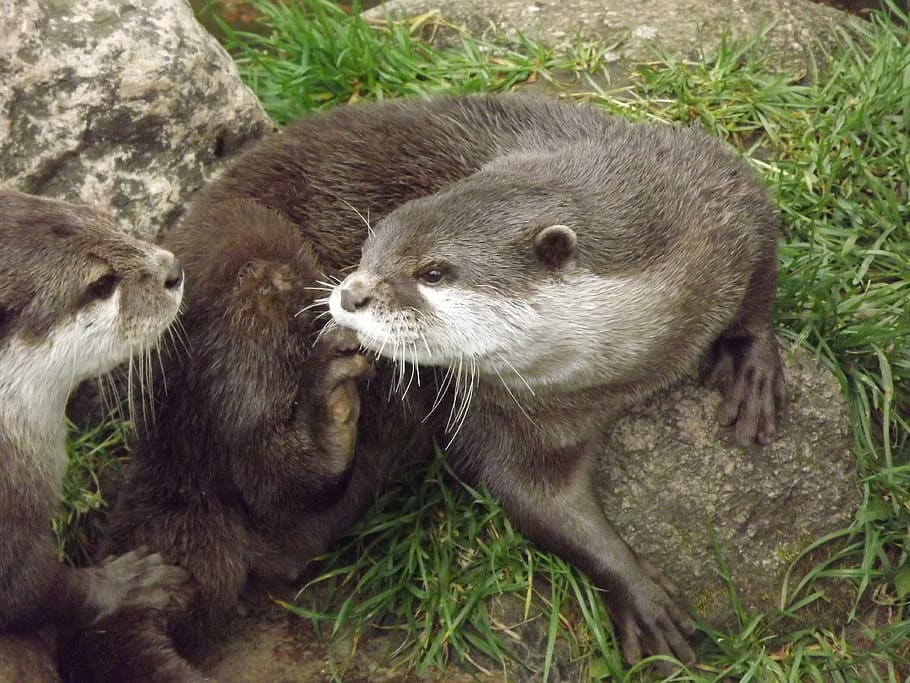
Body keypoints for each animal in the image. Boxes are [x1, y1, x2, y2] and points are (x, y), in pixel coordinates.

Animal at [67, 94, 782, 680]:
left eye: (434, 271)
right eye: (368, 249)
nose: (350, 293)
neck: (618, 369)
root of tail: (160, 438)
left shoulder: (715, 192)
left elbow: (765, 252)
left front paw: (753, 364)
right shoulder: (503, 414)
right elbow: (532, 499)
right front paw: (637, 591)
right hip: (248, 261)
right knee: (260, 461)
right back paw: (329, 410)